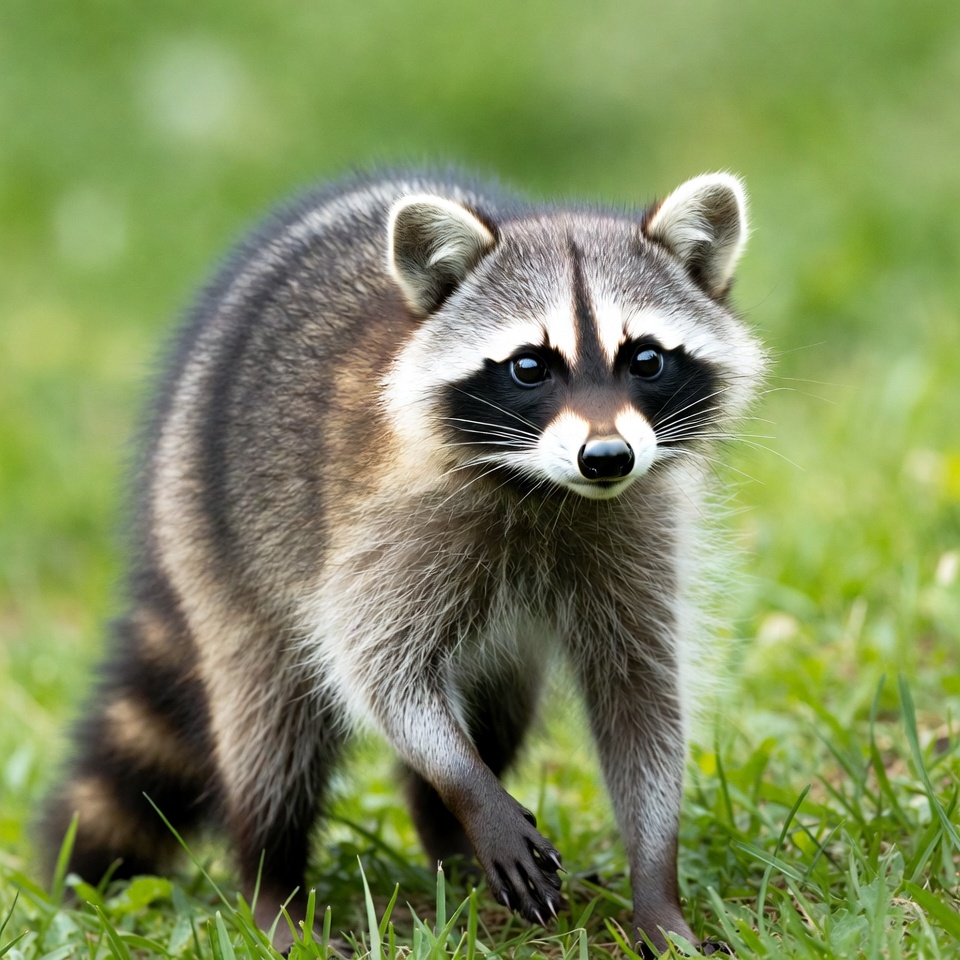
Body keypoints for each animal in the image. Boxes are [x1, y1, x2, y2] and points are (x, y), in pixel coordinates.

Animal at [41, 169, 765, 955]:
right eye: (530, 367)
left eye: (646, 359)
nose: (607, 456)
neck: (546, 488)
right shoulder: (386, 530)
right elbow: (380, 669)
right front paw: (467, 787)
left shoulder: (636, 533)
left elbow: (644, 702)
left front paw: (656, 888)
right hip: (215, 541)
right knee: (270, 735)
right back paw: (272, 881)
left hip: (501, 656)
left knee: (498, 712)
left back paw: (446, 842)